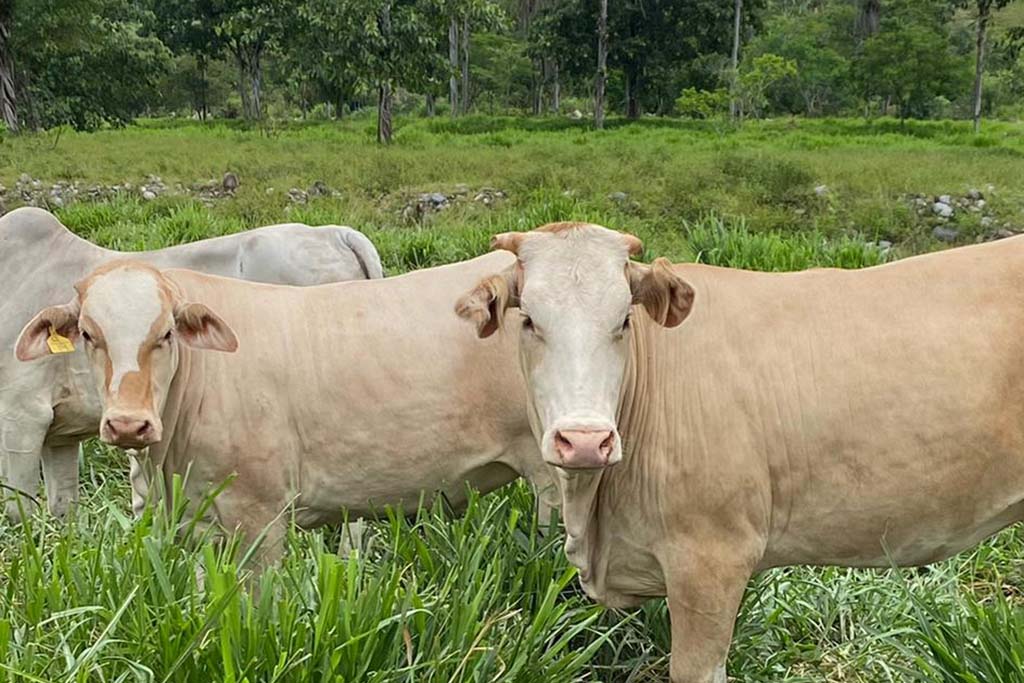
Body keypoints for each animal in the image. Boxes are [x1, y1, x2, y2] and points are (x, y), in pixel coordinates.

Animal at [1, 205, 385, 520]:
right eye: (86, 334)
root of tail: (333, 233)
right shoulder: (59, 434)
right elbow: (63, 509)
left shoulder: (23, 415)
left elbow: (18, 510)